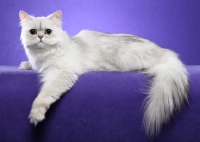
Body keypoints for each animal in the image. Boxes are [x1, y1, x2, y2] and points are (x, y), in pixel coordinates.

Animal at [18, 10, 189, 136]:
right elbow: (31, 66)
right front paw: (24, 65)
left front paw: (36, 115)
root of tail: (166, 52)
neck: (43, 56)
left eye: (48, 31)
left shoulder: (63, 73)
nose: (40, 37)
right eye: (33, 32)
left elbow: (45, 95)